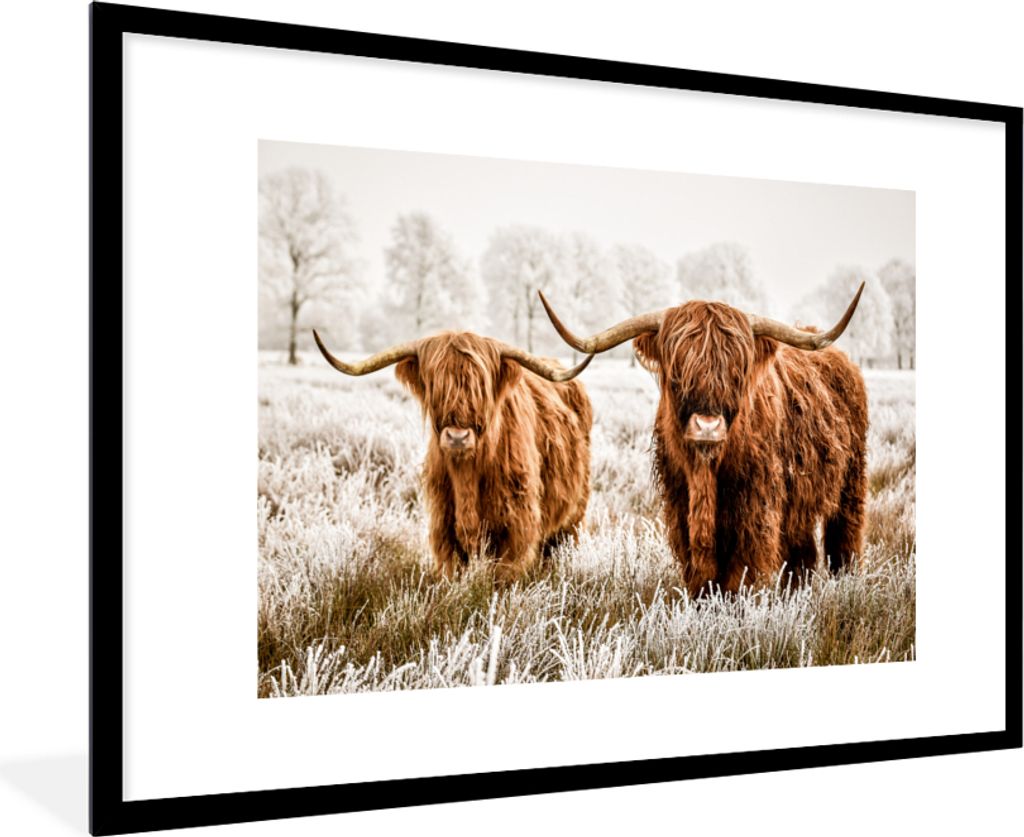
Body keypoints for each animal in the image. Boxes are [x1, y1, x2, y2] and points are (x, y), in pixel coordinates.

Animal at [313, 329, 594, 582]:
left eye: (481, 387)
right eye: (435, 385)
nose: (458, 437)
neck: (467, 475)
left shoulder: (517, 527)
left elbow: (503, 578)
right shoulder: (443, 528)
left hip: (574, 516)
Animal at [538, 285, 868, 598]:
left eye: (737, 371)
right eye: (678, 370)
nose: (707, 426)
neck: (705, 472)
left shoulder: (756, 509)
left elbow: (740, 573)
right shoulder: (680, 506)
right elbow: (701, 573)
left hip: (851, 483)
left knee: (843, 539)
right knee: (803, 553)